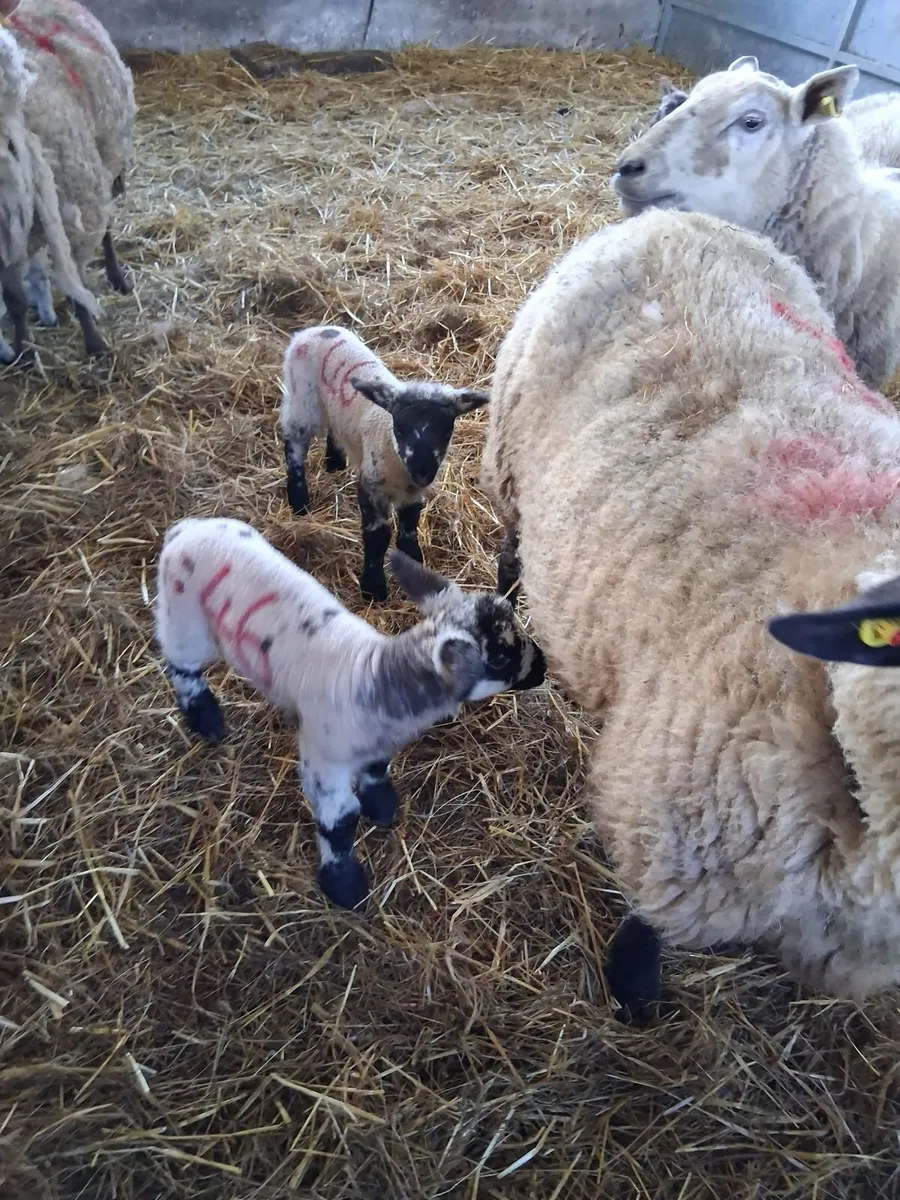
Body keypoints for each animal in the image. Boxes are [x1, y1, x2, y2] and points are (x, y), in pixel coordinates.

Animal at [156, 516, 546, 909]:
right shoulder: (324, 765)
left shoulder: (374, 742)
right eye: (499, 658)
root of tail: (187, 527)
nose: (542, 667)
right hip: (184, 619)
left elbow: (376, 770)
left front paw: (383, 805)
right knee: (181, 666)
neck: (375, 678)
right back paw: (205, 717)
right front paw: (345, 884)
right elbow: (339, 823)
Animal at [281, 325, 489, 603]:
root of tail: (314, 330)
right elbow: (378, 536)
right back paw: (299, 499)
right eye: (399, 429)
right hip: (302, 401)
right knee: (294, 446)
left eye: (447, 432)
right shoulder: (371, 486)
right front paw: (373, 587)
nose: (424, 471)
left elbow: (410, 524)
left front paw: (413, 560)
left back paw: (335, 461)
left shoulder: (413, 493)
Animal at [480, 205, 900, 1019]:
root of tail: (674, 218)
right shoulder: (667, 835)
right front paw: (633, 1000)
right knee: (511, 545)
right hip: (509, 459)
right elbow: (641, 951)